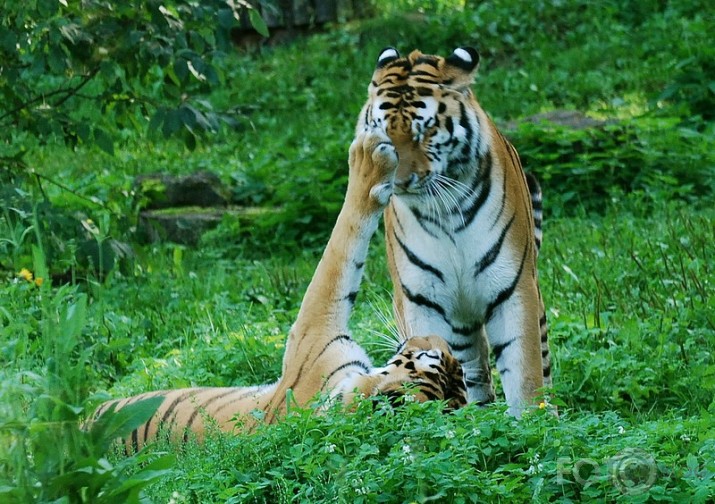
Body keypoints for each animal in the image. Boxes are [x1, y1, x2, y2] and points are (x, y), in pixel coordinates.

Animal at [358, 47, 552, 418]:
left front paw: (533, 423)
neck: (443, 211)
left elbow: (525, 373)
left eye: (424, 131)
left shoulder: (513, 289)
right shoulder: (420, 297)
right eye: (382, 134)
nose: (398, 182)